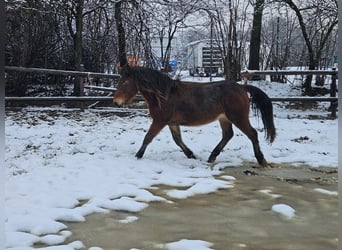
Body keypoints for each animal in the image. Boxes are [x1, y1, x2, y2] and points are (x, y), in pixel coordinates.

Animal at [113, 66, 276, 166]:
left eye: (125, 82)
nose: (116, 102)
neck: (164, 95)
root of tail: (242, 87)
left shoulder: (160, 121)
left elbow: (148, 137)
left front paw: (138, 155)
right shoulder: (172, 122)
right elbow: (177, 140)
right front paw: (191, 155)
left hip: (238, 118)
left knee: (252, 134)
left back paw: (261, 160)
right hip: (224, 119)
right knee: (228, 135)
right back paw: (212, 157)